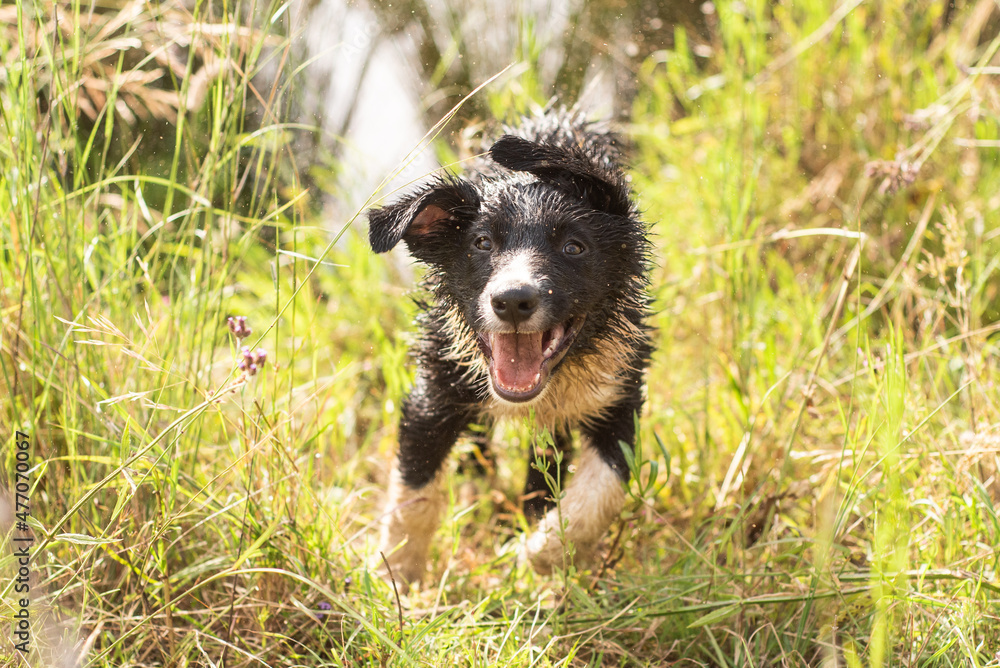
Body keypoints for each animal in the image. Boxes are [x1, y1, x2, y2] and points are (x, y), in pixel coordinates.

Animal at [366, 109, 648, 584]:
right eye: (482, 243)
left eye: (574, 246)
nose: (513, 300)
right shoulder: (438, 386)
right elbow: (414, 489)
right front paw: (397, 573)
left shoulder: (618, 394)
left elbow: (601, 493)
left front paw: (538, 552)